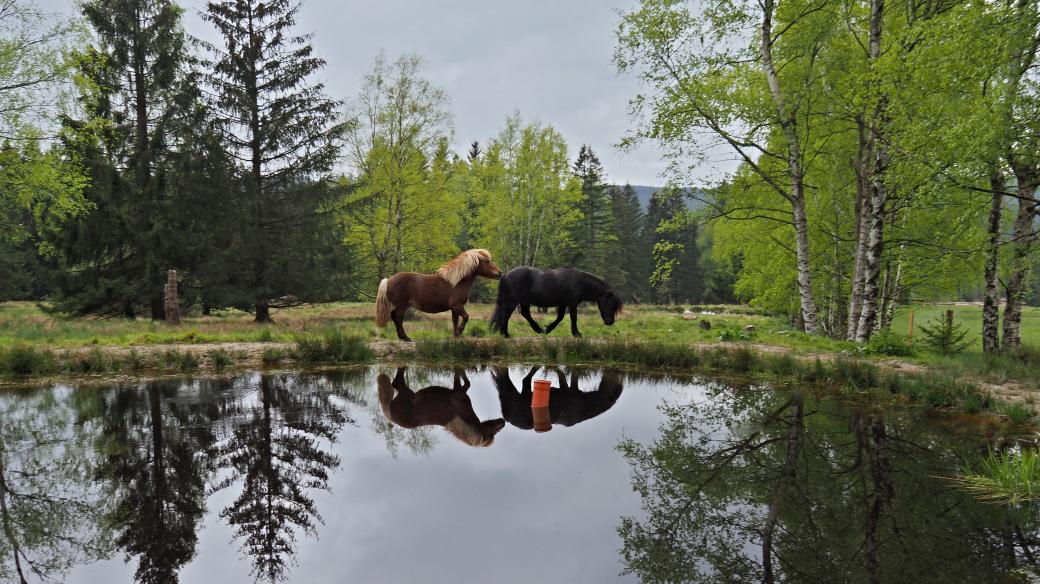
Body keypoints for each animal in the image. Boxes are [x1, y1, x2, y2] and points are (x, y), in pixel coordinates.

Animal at [374, 246, 503, 340]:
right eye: (487, 261)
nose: (500, 273)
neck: (456, 282)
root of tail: (389, 280)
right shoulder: (456, 306)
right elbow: (466, 317)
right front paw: (459, 332)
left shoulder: (454, 308)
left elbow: (455, 321)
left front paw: (456, 335)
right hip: (402, 306)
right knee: (398, 319)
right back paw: (405, 338)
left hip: (402, 306)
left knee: (394, 317)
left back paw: (402, 337)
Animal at [376, 367, 505, 444]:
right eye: (492, 434)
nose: (503, 421)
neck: (462, 421)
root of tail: (390, 414)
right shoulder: (458, 392)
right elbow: (464, 379)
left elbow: (466, 381)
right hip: (405, 391)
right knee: (396, 382)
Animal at [486, 264, 615, 336]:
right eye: (609, 303)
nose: (610, 322)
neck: (579, 281)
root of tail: (506, 275)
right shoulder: (572, 303)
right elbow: (573, 318)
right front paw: (576, 334)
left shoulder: (563, 304)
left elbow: (560, 317)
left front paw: (547, 329)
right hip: (512, 301)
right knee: (505, 315)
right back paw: (505, 334)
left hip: (522, 301)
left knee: (522, 314)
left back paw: (535, 330)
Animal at [488, 365, 619, 430]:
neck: (580, 407)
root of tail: (508, 419)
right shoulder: (568, 390)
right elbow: (564, 375)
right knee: (525, 380)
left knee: (526, 380)